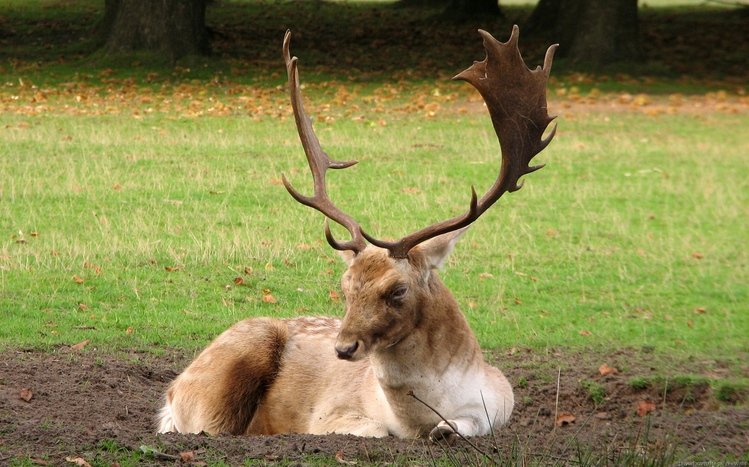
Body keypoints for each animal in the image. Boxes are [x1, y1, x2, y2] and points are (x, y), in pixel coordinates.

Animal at [157, 26, 557, 442]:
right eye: (345, 286)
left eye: (398, 290)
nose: (344, 348)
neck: (416, 419)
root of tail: (170, 395)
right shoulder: (329, 415)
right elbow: (376, 430)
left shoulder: (500, 402)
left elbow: (460, 427)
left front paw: (445, 429)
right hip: (223, 377)